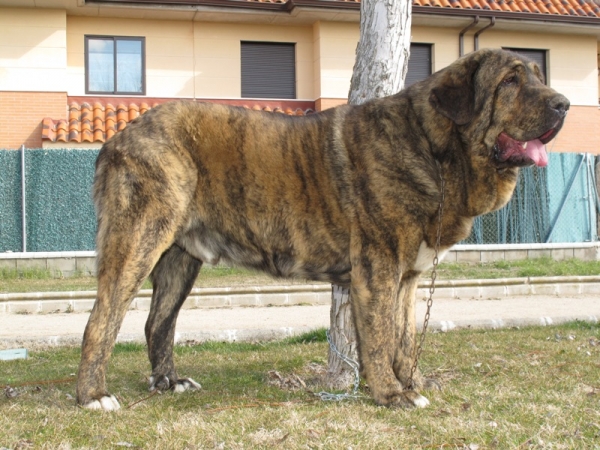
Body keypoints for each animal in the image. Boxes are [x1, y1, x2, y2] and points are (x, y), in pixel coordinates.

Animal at [77, 47, 568, 410]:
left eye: (539, 76)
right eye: (510, 82)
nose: (562, 103)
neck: (435, 148)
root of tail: (118, 138)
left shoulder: (407, 277)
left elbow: (405, 338)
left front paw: (412, 382)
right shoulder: (378, 268)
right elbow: (379, 335)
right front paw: (391, 394)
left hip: (179, 259)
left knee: (157, 322)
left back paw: (169, 381)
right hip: (139, 239)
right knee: (102, 319)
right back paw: (93, 396)